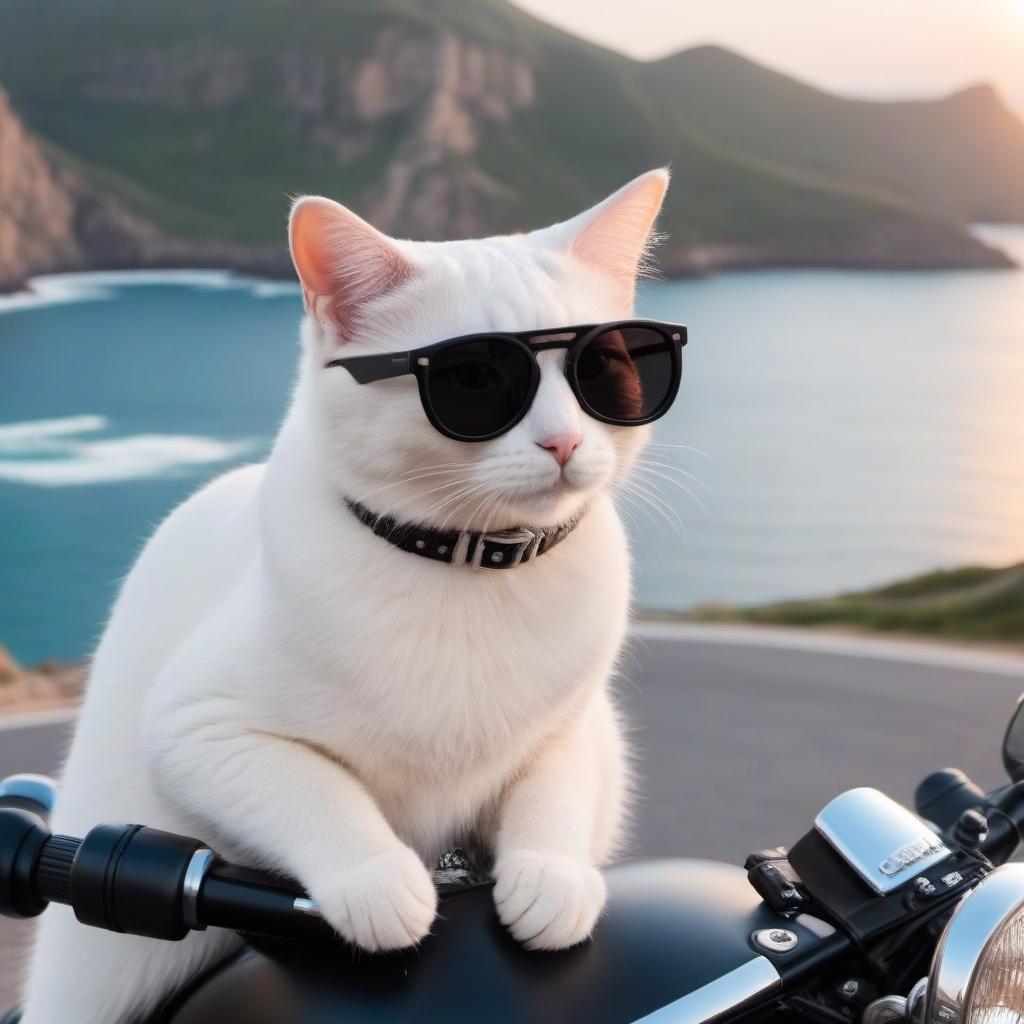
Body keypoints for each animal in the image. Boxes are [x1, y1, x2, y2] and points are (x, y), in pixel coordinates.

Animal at [19, 169, 671, 1024]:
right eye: (475, 378)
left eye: (605, 367)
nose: (563, 441)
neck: (470, 570)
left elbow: (556, 790)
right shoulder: (200, 729)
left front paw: (551, 877)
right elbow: (315, 788)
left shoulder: (579, 726)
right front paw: (377, 881)